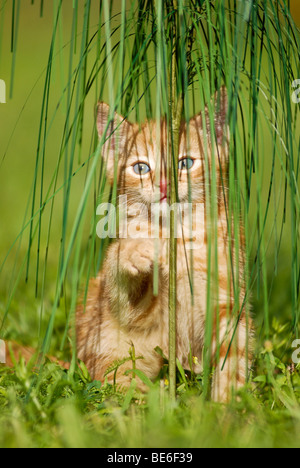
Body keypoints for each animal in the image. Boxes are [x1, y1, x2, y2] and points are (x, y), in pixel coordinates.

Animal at [76, 88, 252, 402]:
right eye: (141, 168)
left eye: (184, 163)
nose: (163, 186)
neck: (178, 236)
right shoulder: (136, 312)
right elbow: (125, 279)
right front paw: (135, 252)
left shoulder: (226, 298)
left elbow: (232, 355)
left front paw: (227, 403)